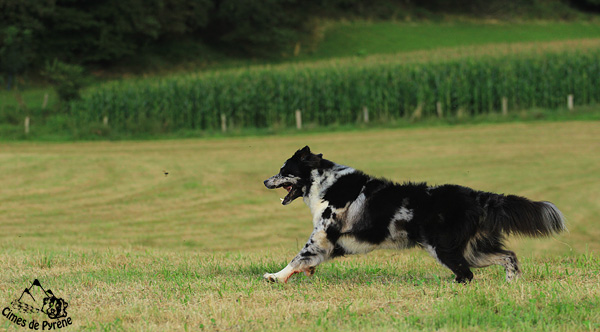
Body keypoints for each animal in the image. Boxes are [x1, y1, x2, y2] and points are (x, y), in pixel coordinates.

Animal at [262, 147, 568, 284]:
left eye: (283, 170)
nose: (265, 181)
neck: (325, 183)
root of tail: (475, 196)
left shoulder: (323, 234)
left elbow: (298, 256)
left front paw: (275, 276)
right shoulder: (336, 242)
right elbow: (308, 260)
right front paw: (299, 273)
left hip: (444, 248)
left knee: (466, 274)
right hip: (472, 249)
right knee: (508, 257)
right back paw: (512, 282)